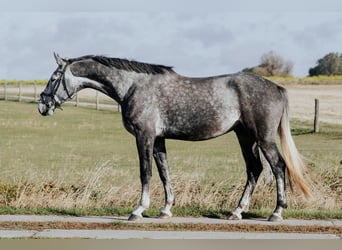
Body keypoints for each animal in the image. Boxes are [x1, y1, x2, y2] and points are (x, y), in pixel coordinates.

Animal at [38, 52, 312, 221]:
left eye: (53, 78)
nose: (43, 105)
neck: (133, 86)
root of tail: (277, 87)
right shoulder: (159, 140)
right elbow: (164, 172)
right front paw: (165, 209)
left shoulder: (145, 136)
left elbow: (146, 172)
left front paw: (138, 210)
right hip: (245, 137)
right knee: (254, 169)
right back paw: (237, 211)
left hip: (263, 138)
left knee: (277, 166)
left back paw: (276, 213)